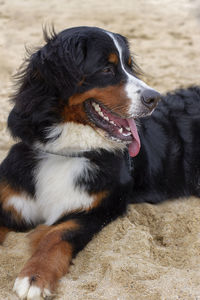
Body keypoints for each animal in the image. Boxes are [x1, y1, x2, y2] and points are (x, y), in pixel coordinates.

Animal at [0, 27, 199, 298]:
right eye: (106, 69)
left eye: (128, 66)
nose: (154, 98)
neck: (68, 152)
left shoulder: (99, 208)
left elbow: (56, 234)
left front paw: (35, 276)